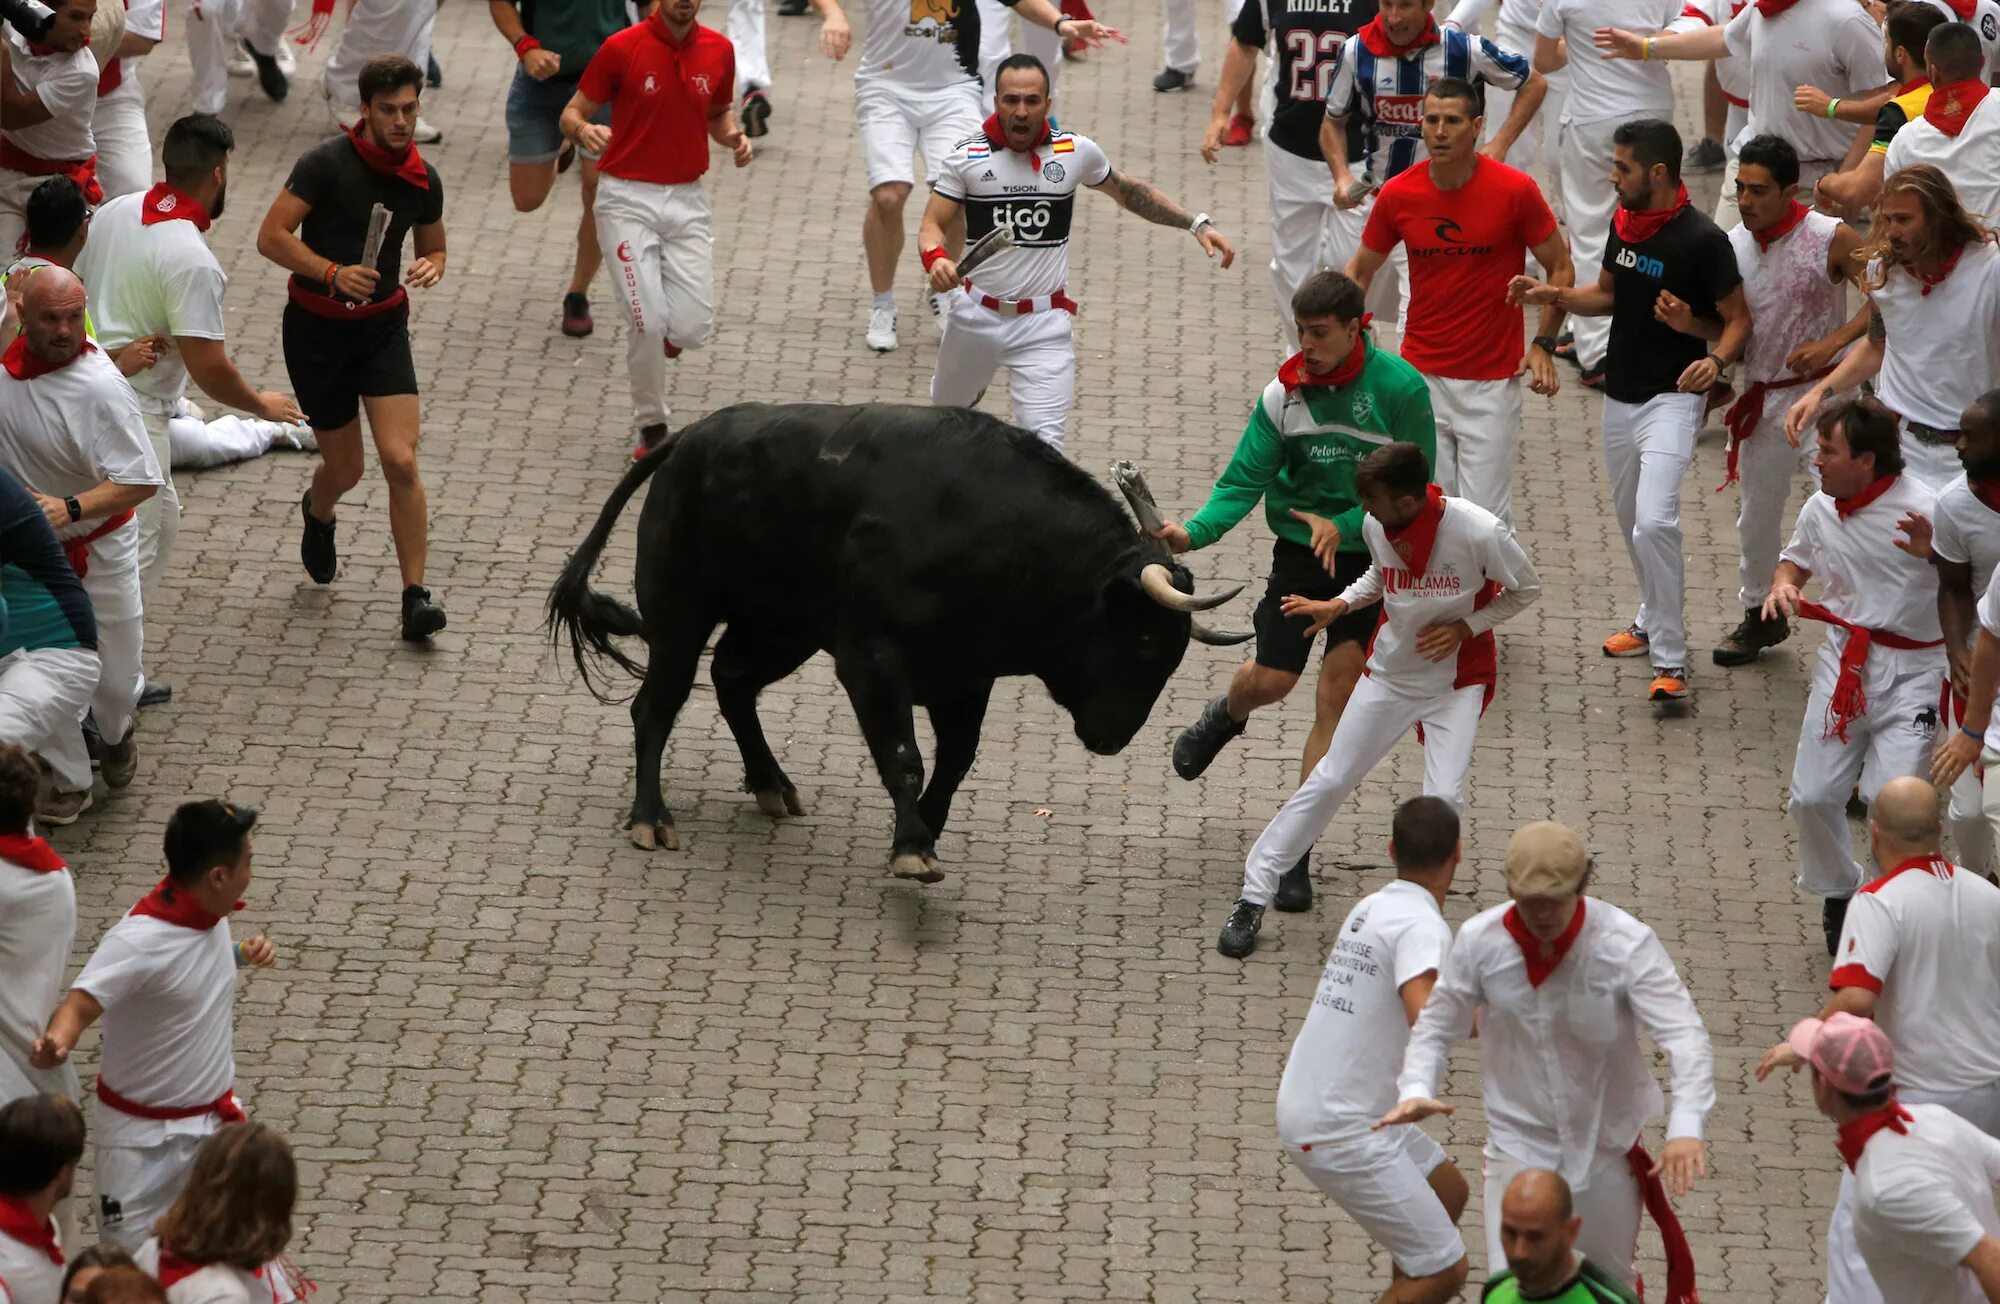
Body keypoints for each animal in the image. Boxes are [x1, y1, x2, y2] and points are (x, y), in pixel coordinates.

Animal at [540, 402, 1240, 880]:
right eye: (1144, 640)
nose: (1112, 739)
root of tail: (690, 437)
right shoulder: (872, 661)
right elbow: (903, 752)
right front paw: (913, 849)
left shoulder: (966, 677)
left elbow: (955, 760)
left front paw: (924, 829)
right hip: (680, 615)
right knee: (656, 705)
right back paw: (651, 818)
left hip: (782, 627)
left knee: (732, 681)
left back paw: (771, 784)